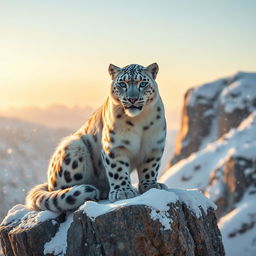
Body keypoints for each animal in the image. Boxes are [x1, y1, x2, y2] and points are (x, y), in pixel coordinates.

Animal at [25, 63, 167, 212]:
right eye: (122, 83)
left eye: (143, 83)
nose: (132, 99)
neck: (139, 122)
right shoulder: (114, 146)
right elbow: (117, 169)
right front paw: (122, 191)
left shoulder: (154, 146)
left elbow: (149, 168)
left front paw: (151, 185)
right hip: (74, 148)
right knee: (58, 189)